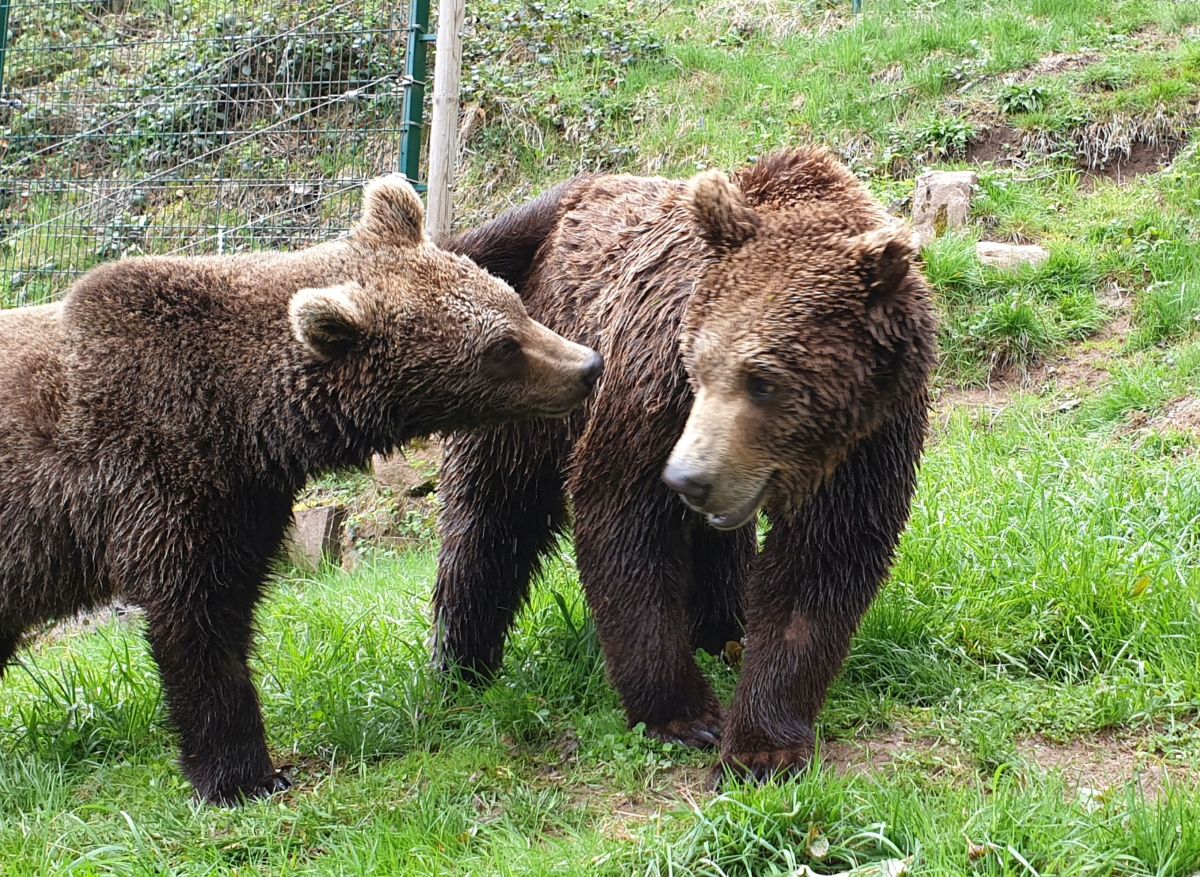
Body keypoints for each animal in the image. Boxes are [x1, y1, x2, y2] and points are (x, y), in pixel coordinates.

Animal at [0, 176, 600, 801]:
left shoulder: (247, 499)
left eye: (515, 305)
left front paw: (563, 200)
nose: (588, 364)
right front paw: (244, 776)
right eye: (501, 348)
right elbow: (199, 626)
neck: (242, 416)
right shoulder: (158, 479)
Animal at [436, 149, 940, 782]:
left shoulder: (870, 438)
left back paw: (724, 629)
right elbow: (623, 521)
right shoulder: (652, 382)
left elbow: (819, 565)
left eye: (764, 381)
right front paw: (686, 716)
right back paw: (462, 662)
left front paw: (764, 745)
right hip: (527, 384)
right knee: (492, 519)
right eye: (697, 363)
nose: (687, 479)